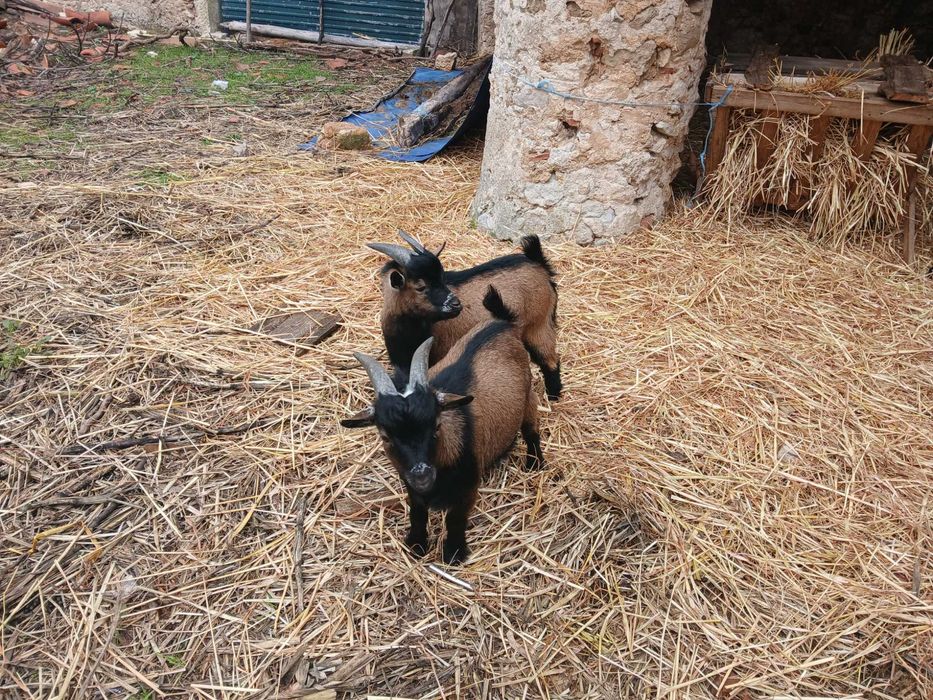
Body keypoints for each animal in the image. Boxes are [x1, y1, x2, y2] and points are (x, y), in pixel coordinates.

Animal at [341, 287, 543, 565]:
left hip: (528, 395)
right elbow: (417, 513)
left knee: (531, 430)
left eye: (436, 426)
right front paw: (415, 544)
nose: (422, 474)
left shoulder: (468, 488)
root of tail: (503, 323)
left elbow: (455, 519)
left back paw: (535, 464)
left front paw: (454, 553)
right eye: (385, 436)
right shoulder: (411, 487)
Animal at [367, 230, 562, 400]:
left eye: (442, 277)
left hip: (538, 325)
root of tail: (537, 262)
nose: (455, 304)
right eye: (421, 287)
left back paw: (553, 396)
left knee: (550, 360)